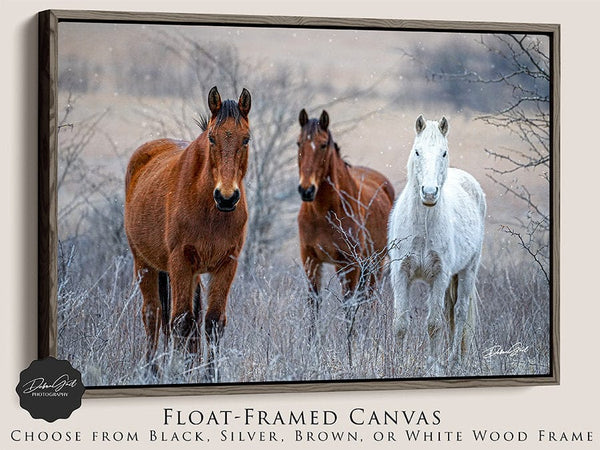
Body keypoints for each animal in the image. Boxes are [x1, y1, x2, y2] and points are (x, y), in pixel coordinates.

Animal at [124, 85, 251, 370]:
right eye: (212, 139)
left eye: (246, 139)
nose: (227, 197)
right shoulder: (180, 262)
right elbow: (180, 321)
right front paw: (181, 372)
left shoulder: (226, 265)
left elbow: (213, 322)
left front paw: (207, 374)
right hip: (144, 264)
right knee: (153, 315)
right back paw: (152, 370)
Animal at [296, 109, 394, 320]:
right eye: (298, 143)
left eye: (323, 144)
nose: (306, 190)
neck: (323, 213)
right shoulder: (311, 260)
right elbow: (314, 306)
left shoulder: (349, 264)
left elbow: (349, 308)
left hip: (375, 264)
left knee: (369, 301)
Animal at [386, 115, 486, 362]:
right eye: (417, 151)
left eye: (444, 152)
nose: (429, 193)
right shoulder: (400, 274)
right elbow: (400, 324)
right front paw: (396, 364)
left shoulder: (439, 276)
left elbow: (433, 324)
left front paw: (433, 364)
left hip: (468, 270)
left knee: (459, 313)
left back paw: (453, 360)